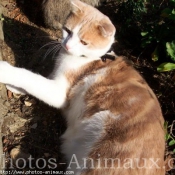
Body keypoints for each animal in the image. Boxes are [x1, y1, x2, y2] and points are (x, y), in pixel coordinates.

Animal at [0, 0, 165, 174]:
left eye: (84, 42)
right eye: (67, 31)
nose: (67, 45)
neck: (94, 58)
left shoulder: (59, 93)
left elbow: (31, 78)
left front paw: (5, 71)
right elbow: (38, 79)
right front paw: (15, 88)